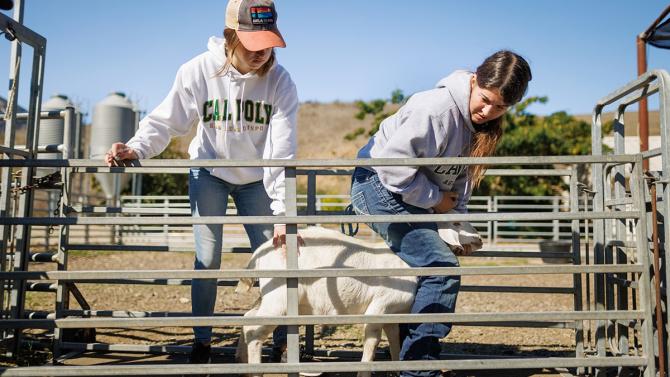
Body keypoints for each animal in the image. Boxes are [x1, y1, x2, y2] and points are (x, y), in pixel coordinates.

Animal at [236, 222, 484, 374]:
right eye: (456, 224)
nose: (480, 239)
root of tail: (258, 254)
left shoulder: (394, 314)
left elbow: (395, 343)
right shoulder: (379, 308)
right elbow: (372, 345)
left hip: (270, 296)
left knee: (248, 318)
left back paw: (241, 361)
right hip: (279, 299)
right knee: (255, 330)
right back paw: (254, 370)